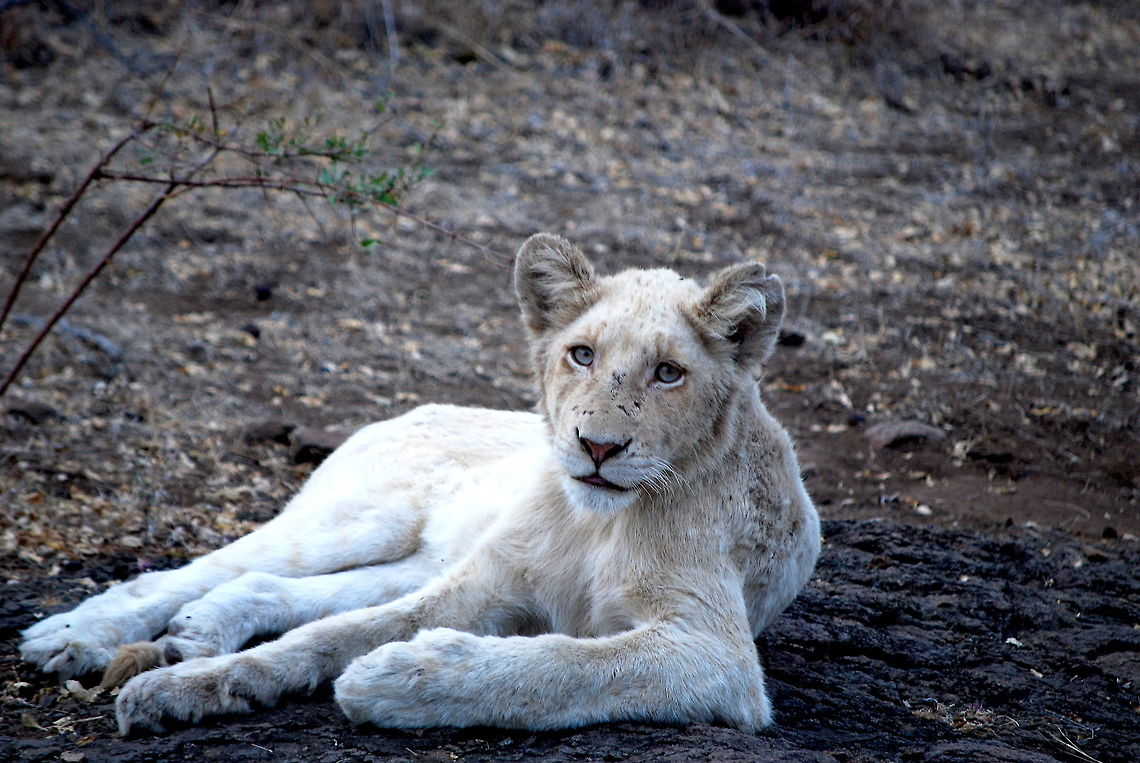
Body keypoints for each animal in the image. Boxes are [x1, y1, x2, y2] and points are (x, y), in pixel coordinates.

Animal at [20, 233, 820, 735]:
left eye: (668, 373)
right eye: (582, 355)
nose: (597, 446)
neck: (597, 519)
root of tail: (414, 405)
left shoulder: (716, 653)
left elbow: (568, 664)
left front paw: (395, 677)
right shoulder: (488, 584)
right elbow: (331, 636)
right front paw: (183, 687)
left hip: (421, 554)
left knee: (268, 585)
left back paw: (196, 632)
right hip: (358, 517)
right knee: (199, 570)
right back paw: (71, 636)